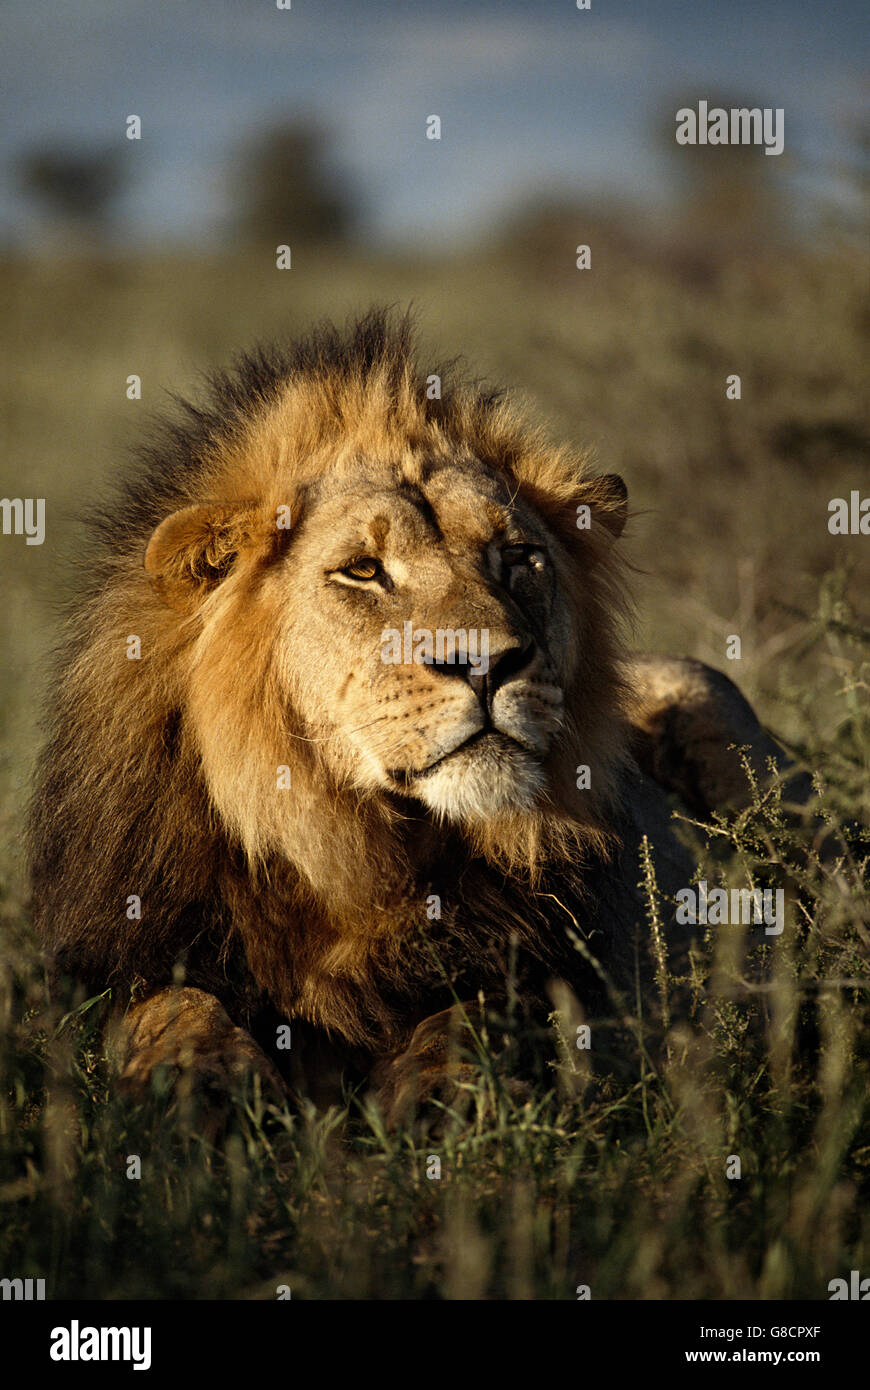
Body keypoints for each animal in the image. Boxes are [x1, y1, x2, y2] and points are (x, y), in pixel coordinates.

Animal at [27, 309, 800, 1123]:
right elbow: (173, 1008)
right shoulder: (134, 952)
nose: (489, 663)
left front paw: (442, 1102)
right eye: (363, 571)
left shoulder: (546, 966)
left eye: (516, 556)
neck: (348, 847)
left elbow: (474, 1019)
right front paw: (194, 1092)